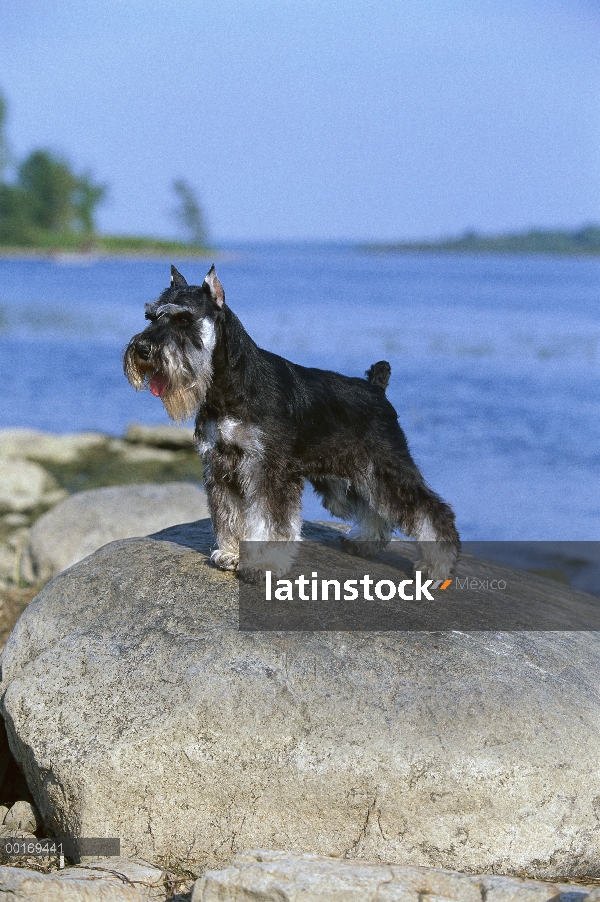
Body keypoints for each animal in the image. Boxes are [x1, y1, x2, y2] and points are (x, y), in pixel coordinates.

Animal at [122, 266, 460, 580]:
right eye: (150, 317)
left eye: (183, 319)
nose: (142, 349)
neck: (228, 388)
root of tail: (376, 388)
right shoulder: (220, 467)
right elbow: (229, 515)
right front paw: (231, 553)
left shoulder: (268, 470)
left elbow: (270, 521)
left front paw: (263, 564)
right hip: (344, 478)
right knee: (373, 507)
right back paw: (363, 541)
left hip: (385, 468)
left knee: (431, 510)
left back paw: (437, 565)